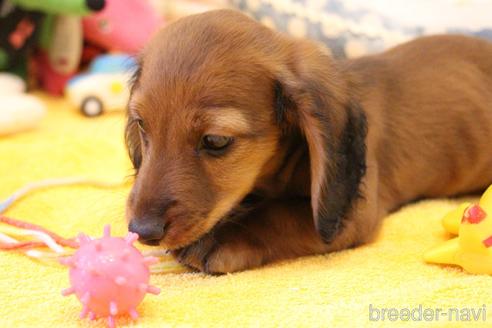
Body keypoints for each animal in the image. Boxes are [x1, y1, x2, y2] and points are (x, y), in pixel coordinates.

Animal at [125, 9, 492, 272]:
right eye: (142, 124)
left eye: (216, 141)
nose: (142, 230)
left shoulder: (353, 213)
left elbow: (279, 215)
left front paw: (224, 237)